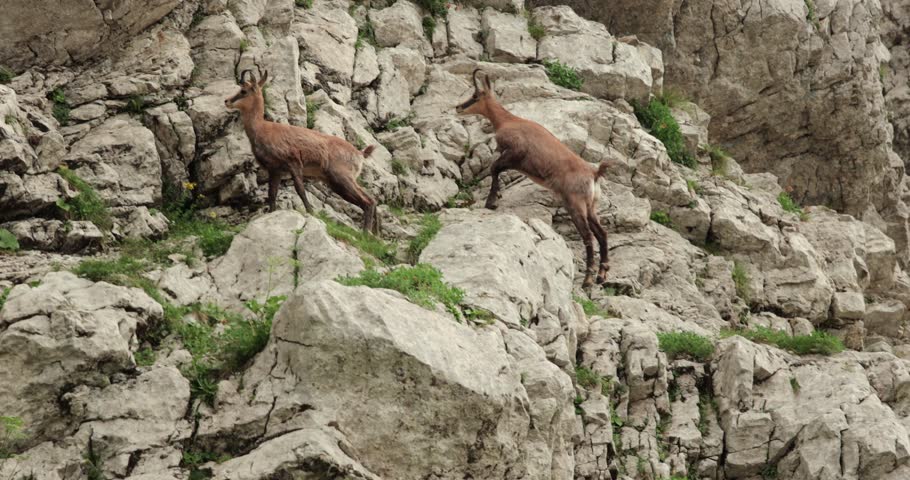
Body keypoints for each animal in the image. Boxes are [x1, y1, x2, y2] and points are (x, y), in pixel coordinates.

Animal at [225, 69, 379, 233]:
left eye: (243, 91)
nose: (226, 101)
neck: (262, 129)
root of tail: (360, 154)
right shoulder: (275, 170)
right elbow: (272, 194)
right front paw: (271, 214)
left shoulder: (293, 162)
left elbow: (300, 189)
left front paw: (311, 212)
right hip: (338, 181)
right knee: (372, 199)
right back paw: (374, 234)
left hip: (341, 177)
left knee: (367, 201)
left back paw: (366, 233)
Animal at [456, 70, 610, 289]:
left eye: (475, 96)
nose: (458, 107)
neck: (508, 120)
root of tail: (594, 173)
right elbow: (496, 170)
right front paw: (495, 198)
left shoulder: (515, 154)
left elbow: (494, 168)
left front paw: (492, 201)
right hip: (591, 207)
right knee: (602, 234)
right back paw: (601, 275)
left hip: (575, 204)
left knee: (588, 236)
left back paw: (587, 279)